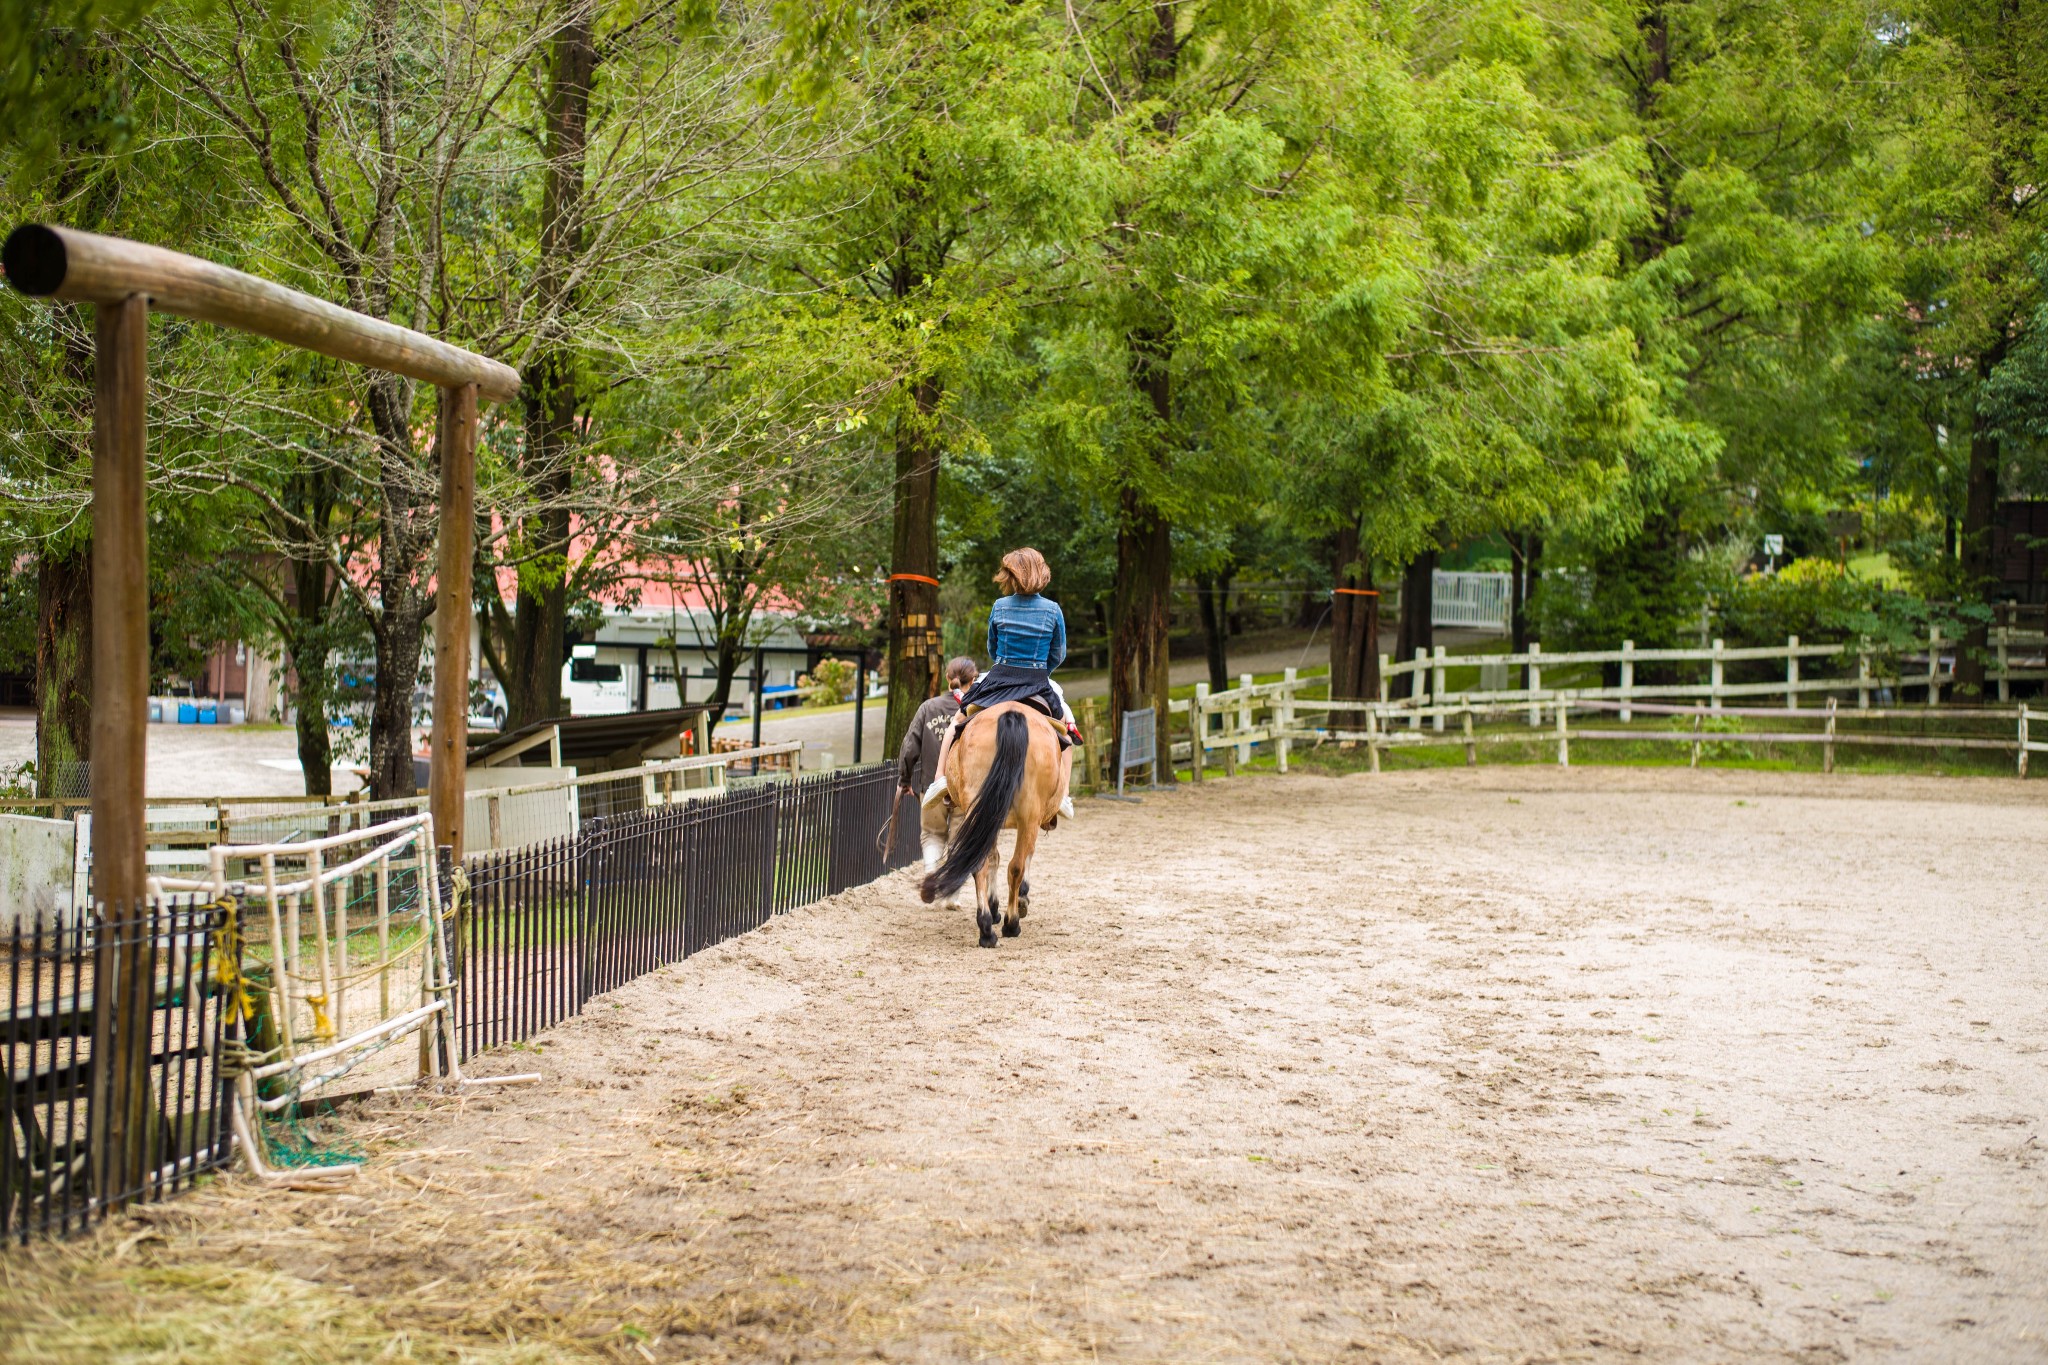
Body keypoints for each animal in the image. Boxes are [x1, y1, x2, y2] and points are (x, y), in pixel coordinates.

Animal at [921, 703, 1064, 949]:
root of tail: (1011, 713)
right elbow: (1020, 859)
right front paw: (1019, 901)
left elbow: (993, 858)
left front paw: (994, 906)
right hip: (1029, 815)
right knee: (1016, 866)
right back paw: (1011, 924)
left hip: (980, 809)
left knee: (980, 863)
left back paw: (986, 928)